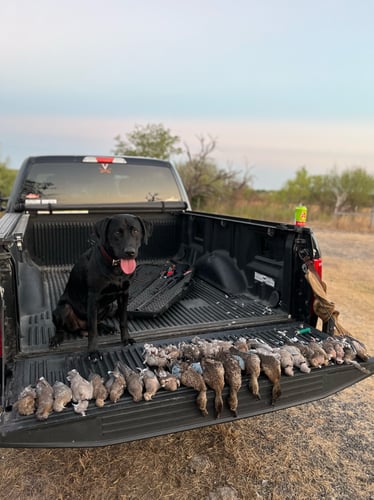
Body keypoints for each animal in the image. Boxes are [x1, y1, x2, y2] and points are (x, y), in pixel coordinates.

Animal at [50, 213, 153, 358]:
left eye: (135, 231)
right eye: (117, 233)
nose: (130, 252)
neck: (116, 267)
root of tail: (80, 327)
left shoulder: (124, 294)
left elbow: (123, 320)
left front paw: (126, 339)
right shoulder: (93, 298)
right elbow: (93, 329)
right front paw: (93, 351)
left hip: (108, 306)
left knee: (97, 322)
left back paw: (106, 327)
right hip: (63, 308)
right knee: (64, 327)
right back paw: (57, 338)